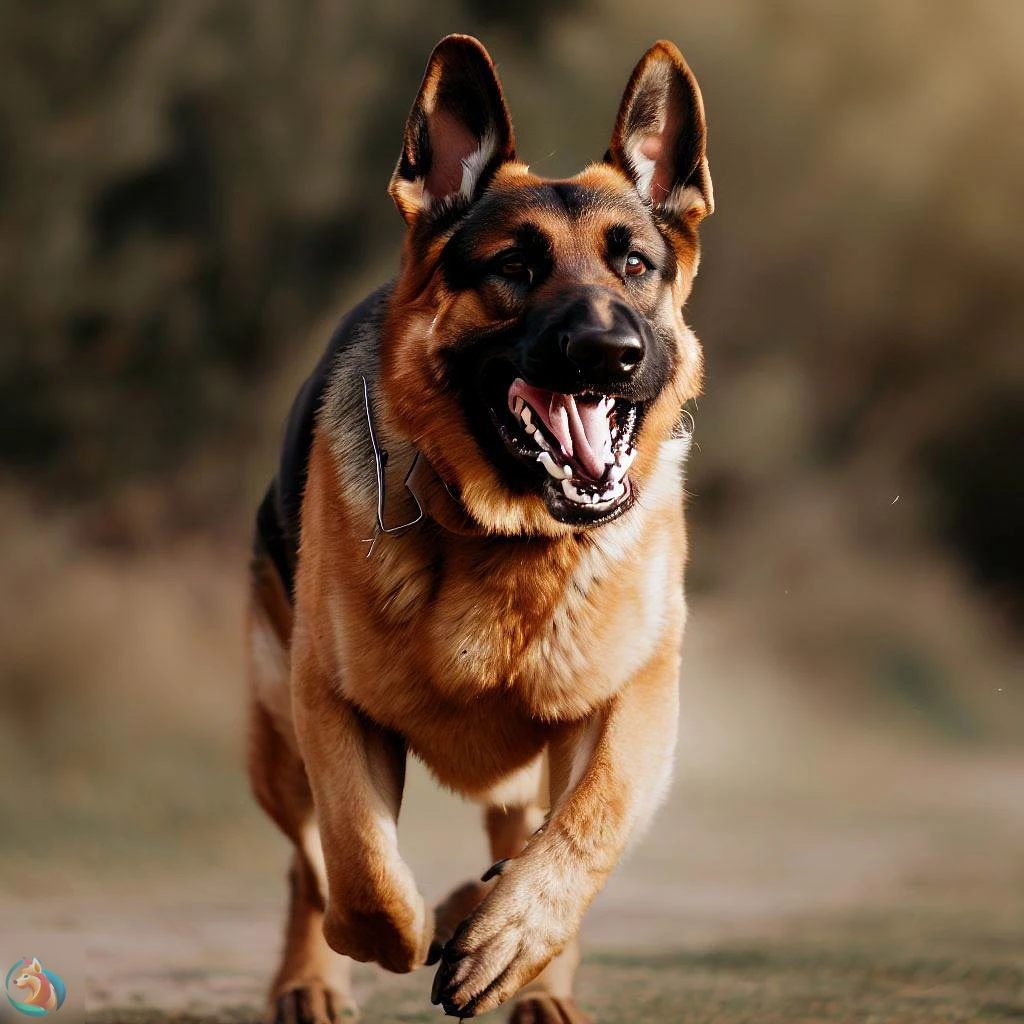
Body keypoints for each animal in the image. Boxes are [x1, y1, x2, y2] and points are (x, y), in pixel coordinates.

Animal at [246, 34, 712, 1024]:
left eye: (636, 266)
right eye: (514, 269)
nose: (609, 354)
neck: (512, 537)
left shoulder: (635, 701)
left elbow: (589, 823)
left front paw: (505, 932)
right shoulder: (329, 708)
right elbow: (365, 881)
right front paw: (421, 924)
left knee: (527, 828)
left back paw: (524, 959)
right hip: (274, 734)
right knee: (310, 866)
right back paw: (314, 976)